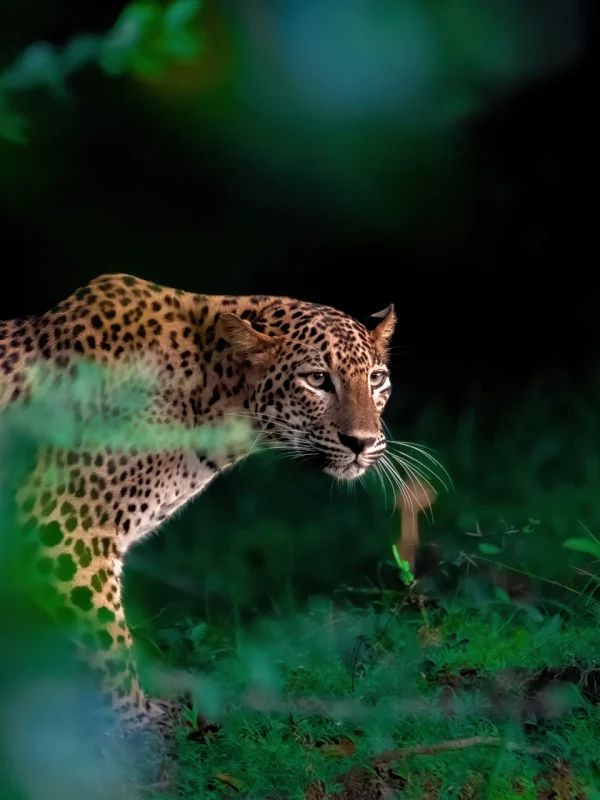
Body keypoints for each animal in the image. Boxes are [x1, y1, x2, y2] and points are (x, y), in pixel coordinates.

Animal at [0, 273, 396, 734]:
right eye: (317, 379)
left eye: (376, 379)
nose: (361, 442)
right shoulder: (66, 530)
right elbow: (108, 642)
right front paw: (135, 722)